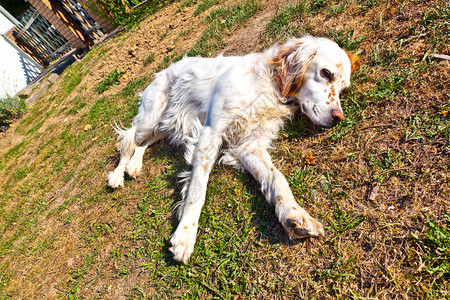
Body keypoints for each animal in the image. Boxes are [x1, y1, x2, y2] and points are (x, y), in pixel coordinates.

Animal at [108, 35, 362, 262]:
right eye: (326, 73)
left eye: (343, 88)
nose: (338, 118)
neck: (270, 85)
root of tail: (163, 70)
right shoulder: (211, 133)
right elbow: (197, 190)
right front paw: (185, 235)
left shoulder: (250, 145)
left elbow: (277, 178)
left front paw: (295, 215)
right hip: (151, 117)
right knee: (128, 139)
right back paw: (117, 175)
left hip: (166, 122)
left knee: (142, 143)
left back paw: (134, 166)